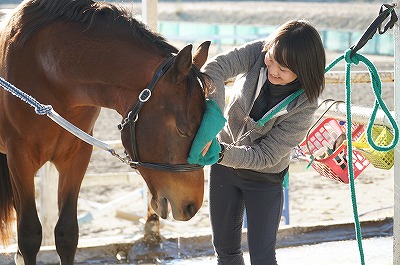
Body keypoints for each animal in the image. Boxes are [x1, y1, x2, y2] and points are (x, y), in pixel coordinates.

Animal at [0, 0, 212, 262]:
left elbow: (67, 233)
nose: (192, 205)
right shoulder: (20, 158)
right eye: (183, 130)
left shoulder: (77, 157)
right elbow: (30, 236)